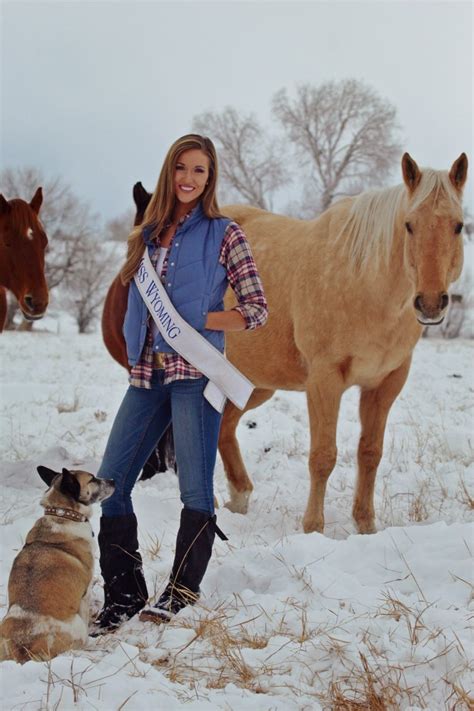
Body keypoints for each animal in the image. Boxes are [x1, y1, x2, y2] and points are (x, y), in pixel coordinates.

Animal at [0, 468, 114, 660]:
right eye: (92, 479)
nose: (113, 480)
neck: (63, 513)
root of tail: (24, 647)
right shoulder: (85, 594)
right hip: (77, 625)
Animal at [103, 156, 466, 536]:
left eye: (458, 226)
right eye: (409, 225)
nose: (430, 302)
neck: (364, 282)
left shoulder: (385, 384)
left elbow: (370, 452)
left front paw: (365, 525)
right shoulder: (324, 380)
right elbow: (323, 456)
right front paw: (313, 527)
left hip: (252, 383)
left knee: (224, 429)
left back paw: (238, 497)